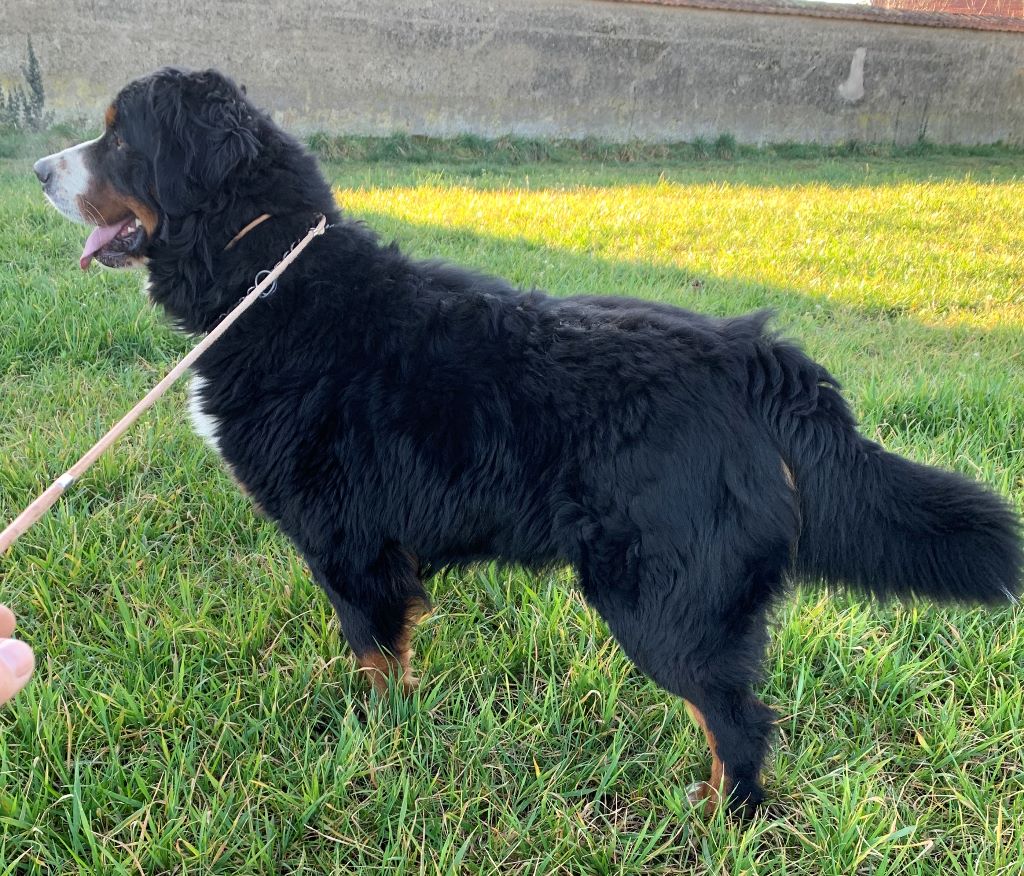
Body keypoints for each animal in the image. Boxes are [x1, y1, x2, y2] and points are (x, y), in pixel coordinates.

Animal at [34, 68, 1022, 816]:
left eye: (120, 141)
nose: (40, 167)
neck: (269, 272)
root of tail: (752, 354)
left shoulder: (348, 544)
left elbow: (372, 655)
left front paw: (370, 742)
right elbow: (389, 653)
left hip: (663, 599)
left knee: (737, 723)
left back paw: (720, 822)